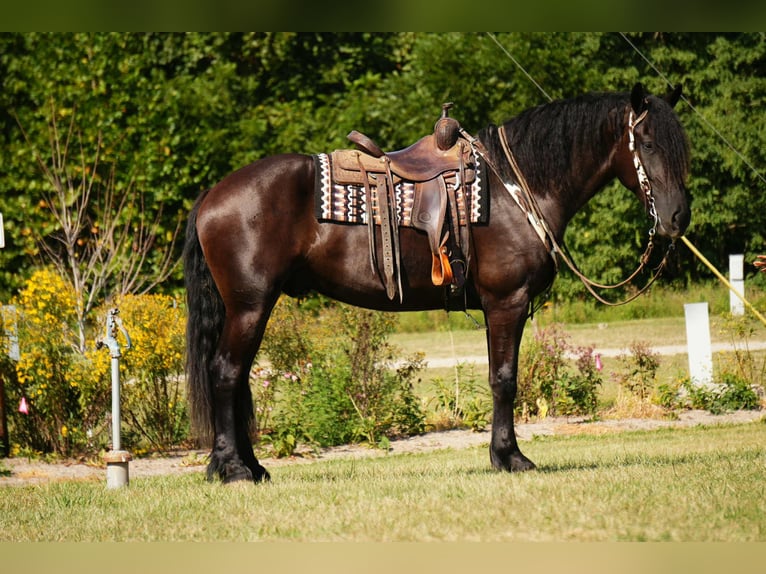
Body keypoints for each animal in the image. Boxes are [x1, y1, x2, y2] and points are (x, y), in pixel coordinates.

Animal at [183, 83, 690, 483]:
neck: (517, 189)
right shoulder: (506, 303)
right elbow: (504, 379)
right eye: (646, 143)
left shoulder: (498, 308)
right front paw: (510, 458)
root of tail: (212, 195)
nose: (677, 219)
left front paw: (503, 455)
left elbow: (498, 376)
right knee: (226, 373)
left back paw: (250, 467)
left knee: (238, 378)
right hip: (250, 306)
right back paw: (233, 469)